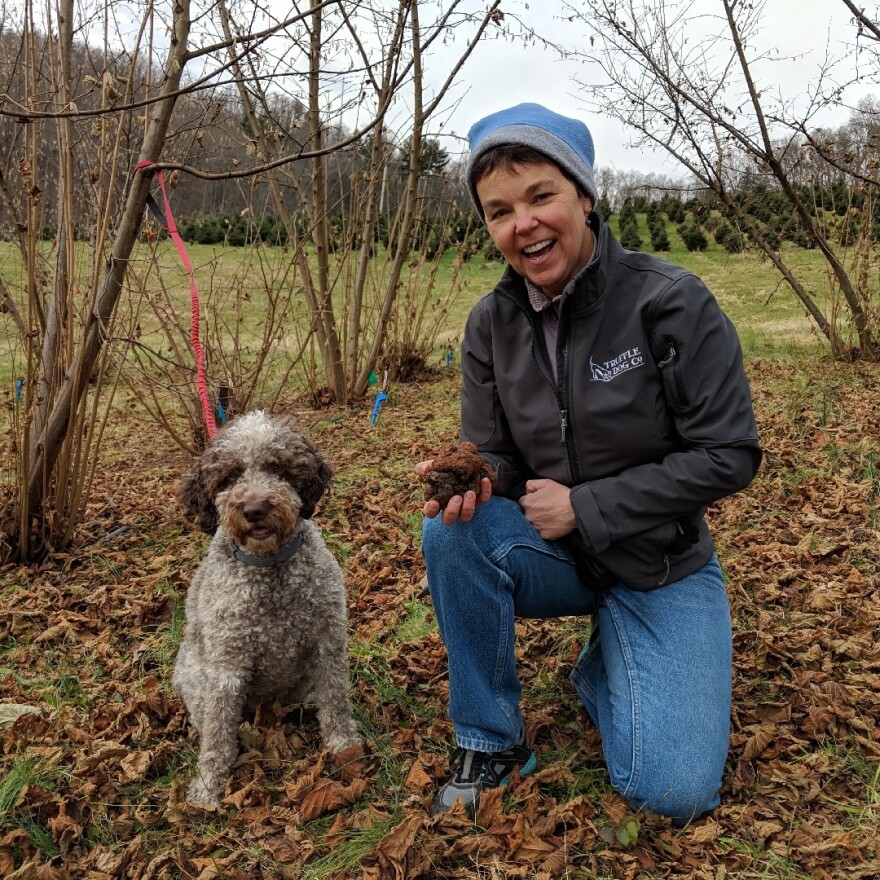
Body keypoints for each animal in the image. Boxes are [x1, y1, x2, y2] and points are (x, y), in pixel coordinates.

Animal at [172, 410, 360, 804]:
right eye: (230, 475)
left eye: (277, 468)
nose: (255, 509)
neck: (270, 569)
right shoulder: (226, 666)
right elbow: (217, 734)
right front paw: (208, 785)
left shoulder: (327, 642)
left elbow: (335, 697)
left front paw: (344, 744)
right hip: (194, 676)